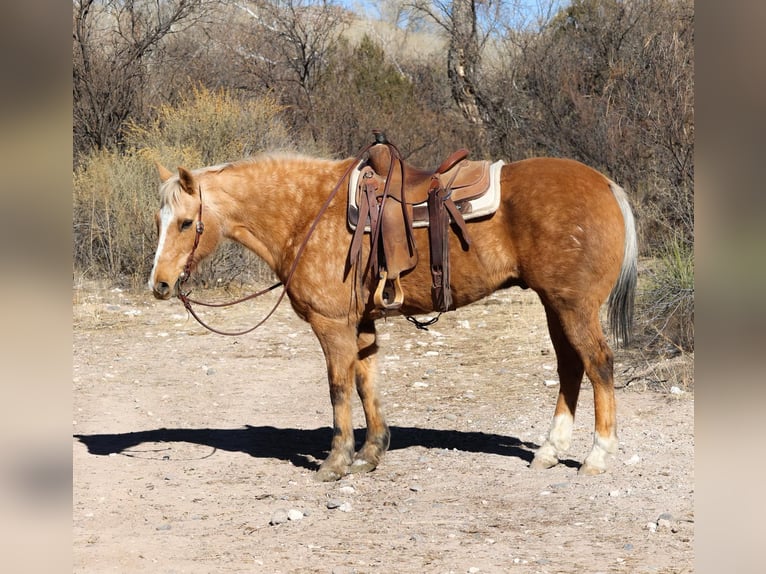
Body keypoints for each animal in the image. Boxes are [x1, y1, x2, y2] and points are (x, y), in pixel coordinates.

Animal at [148, 147, 637, 482]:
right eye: (159, 221)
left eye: (186, 223)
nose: (161, 284)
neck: (307, 212)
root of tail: (606, 186)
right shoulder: (361, 325)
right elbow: (368, 385)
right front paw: (371, 453)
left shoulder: (332, 326)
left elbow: (339, 389)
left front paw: (336, 460)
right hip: (555, 306)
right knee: (571, 367)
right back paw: (550, 450)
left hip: (574, 308)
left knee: (598, 365)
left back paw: (597, 454)